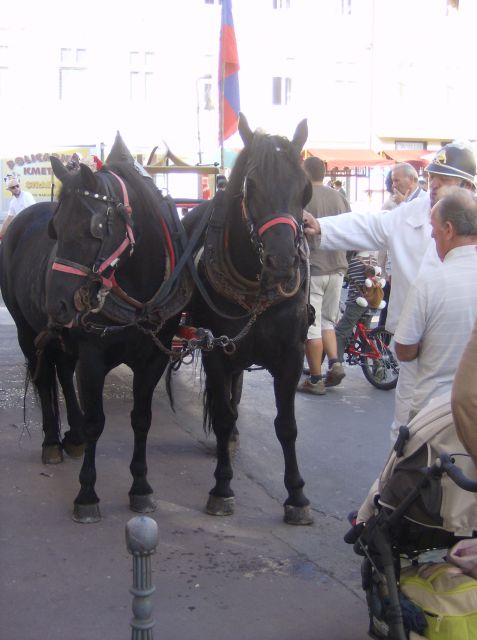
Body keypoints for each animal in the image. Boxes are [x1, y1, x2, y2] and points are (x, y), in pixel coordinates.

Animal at [3, 135, 193, 520]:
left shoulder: (153, 359)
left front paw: (141, 487)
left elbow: (142, 418)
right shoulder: (92, 357)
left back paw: (72, 436)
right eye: (55, 229)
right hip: (27, 331)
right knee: (44, 378)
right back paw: (52, 441)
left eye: (94, 228)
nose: (57, 305)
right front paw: (87, 493)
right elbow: (96, 421)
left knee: (62, 371)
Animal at [182, 115, 312, 524]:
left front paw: (296, 496)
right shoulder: (216, 352)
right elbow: (222, 417)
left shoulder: (291, 356)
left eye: (305, 189)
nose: (283, 262)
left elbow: (287, 426)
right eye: (251, 186)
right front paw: (222, 487)